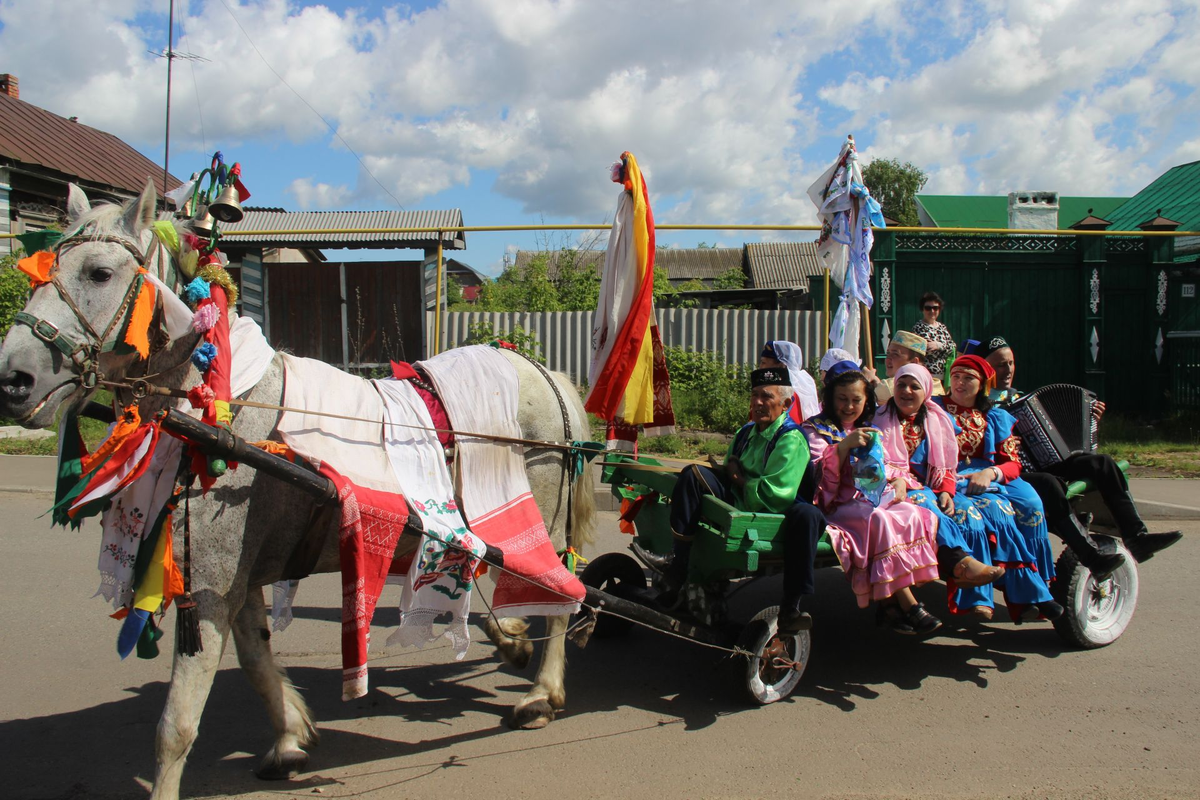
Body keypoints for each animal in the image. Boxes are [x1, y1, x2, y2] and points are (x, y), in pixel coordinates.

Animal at [0, 181, 597, 800]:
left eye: (99, 273)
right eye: (39, 270)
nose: (13, 379)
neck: (225, 409)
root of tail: (545, 375)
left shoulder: (211, 586)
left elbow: (177, 725)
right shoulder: (237, 577)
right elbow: (256, 658)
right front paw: (289, 736)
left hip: (539, 526)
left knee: (562, 597)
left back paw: (541, 694)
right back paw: (511, 639)